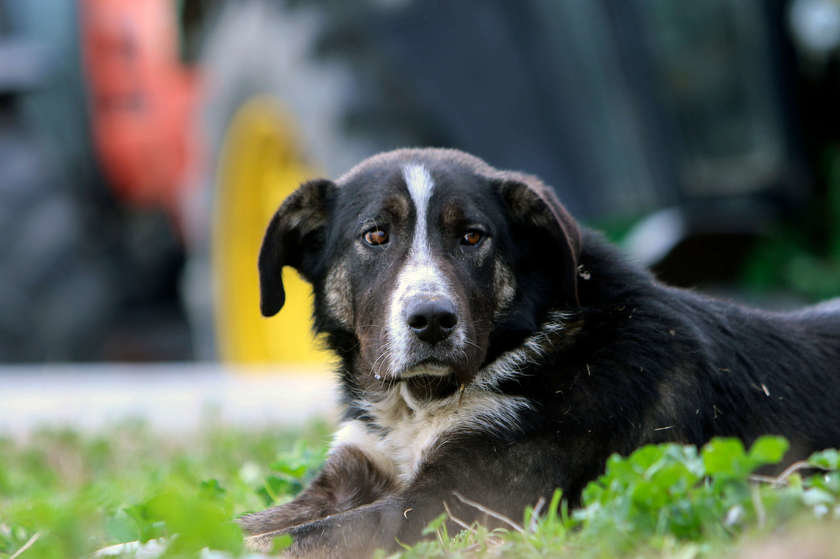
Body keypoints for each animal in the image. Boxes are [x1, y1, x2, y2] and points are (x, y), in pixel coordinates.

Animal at [241, 148, 840, 556]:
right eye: (375, 236)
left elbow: (303, 537)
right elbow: (252, 521)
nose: (432, 320)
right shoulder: (351, 475)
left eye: (473, 236)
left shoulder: (453, 504)